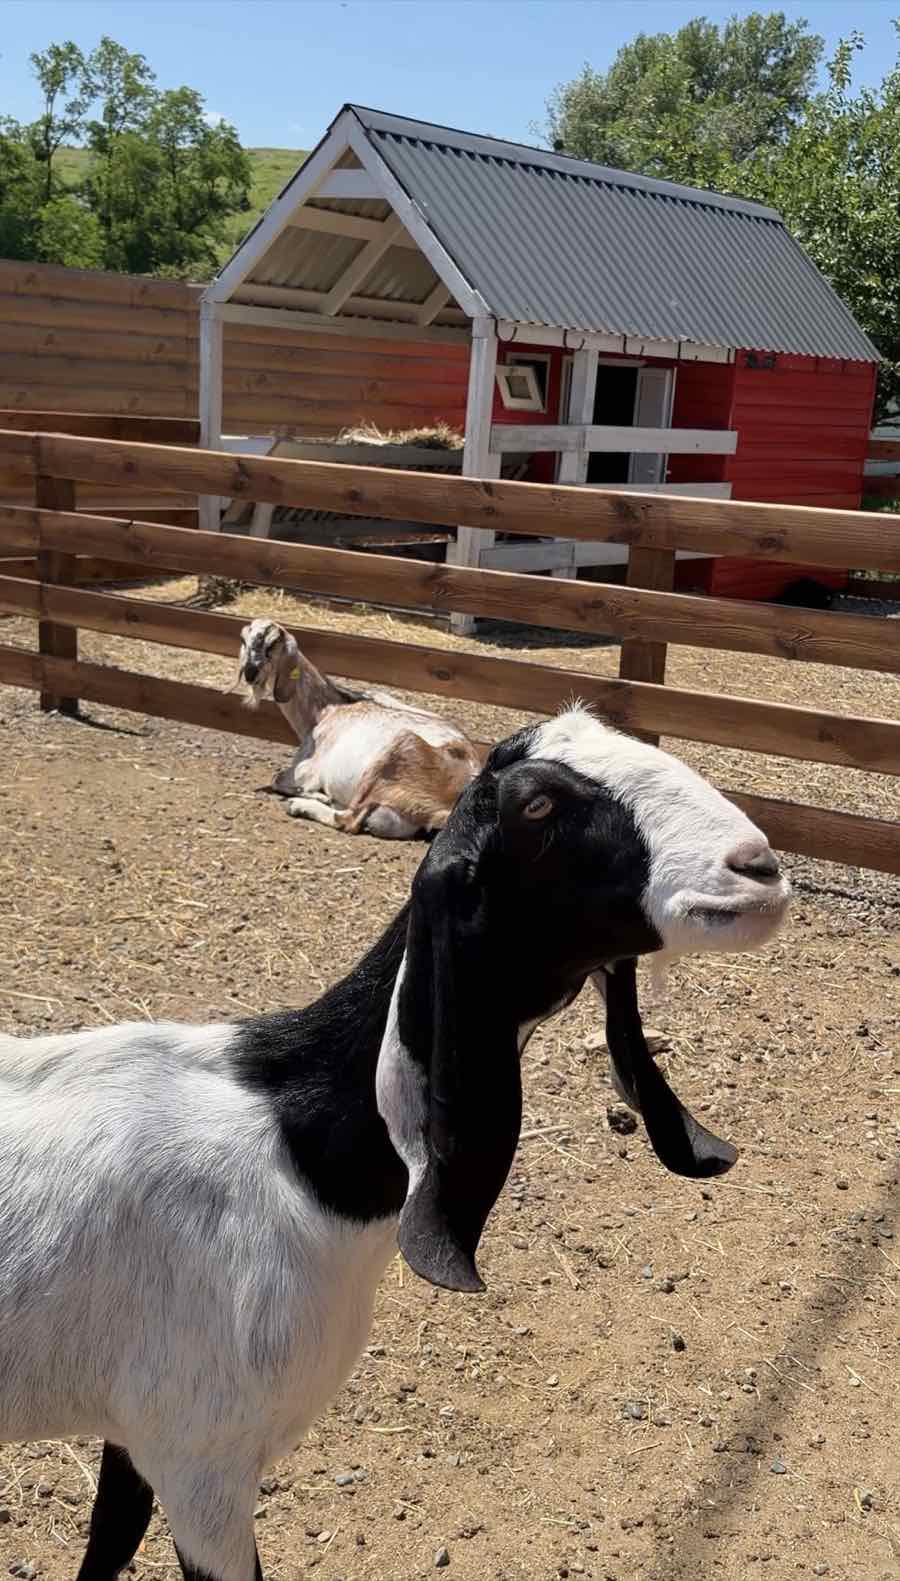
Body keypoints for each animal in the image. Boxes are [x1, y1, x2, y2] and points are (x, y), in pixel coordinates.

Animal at [0, 707, 790, 1581]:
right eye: (538, 807)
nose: (758, 867)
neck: (297, 1141)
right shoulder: (201, 1460)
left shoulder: (137, 1435)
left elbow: (108, 1540)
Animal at [237, 618, 484, 838]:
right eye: (244, 640)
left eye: (272, 644)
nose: (250, 672)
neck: (325, 709)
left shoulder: (308, 770)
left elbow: (278, 778)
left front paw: (317, 797)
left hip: (393, 755)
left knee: (348, 820)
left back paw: (301, 805)